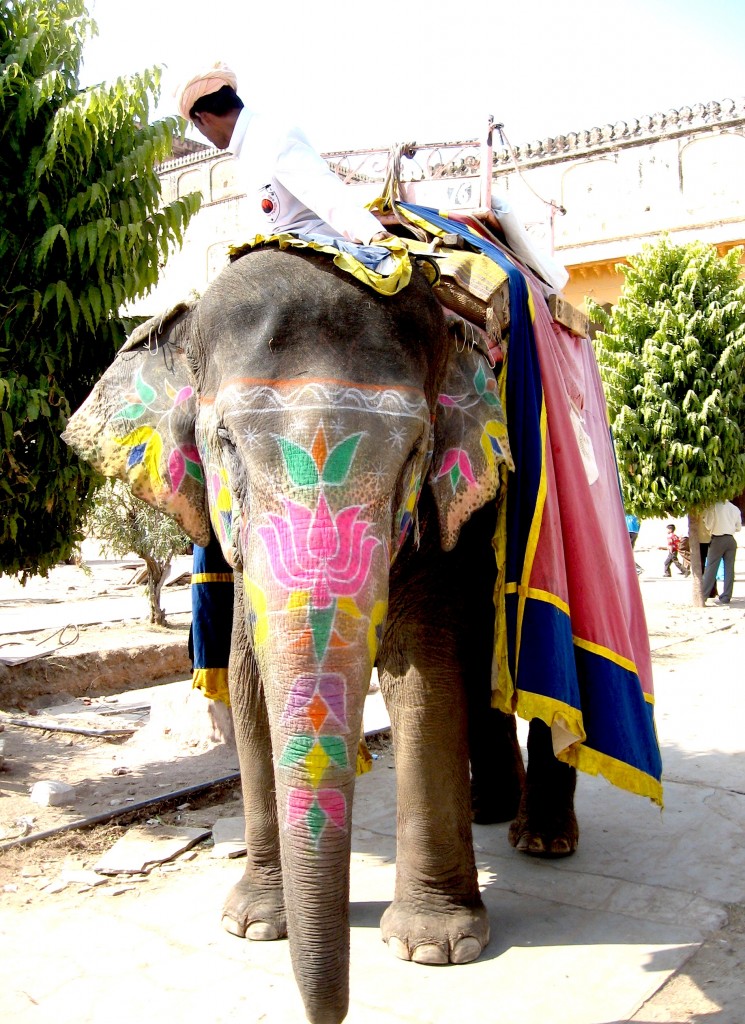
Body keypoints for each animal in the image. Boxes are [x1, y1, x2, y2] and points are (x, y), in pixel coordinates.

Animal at [63, 245, 578, 1024]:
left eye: (414, 451)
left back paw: (542, 840)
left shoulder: (438, 513)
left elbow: (420, 674)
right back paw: (490, 813)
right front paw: (252, 926)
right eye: (224, 443)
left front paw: (431, 947)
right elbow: (249, 681)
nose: (329, 1014)